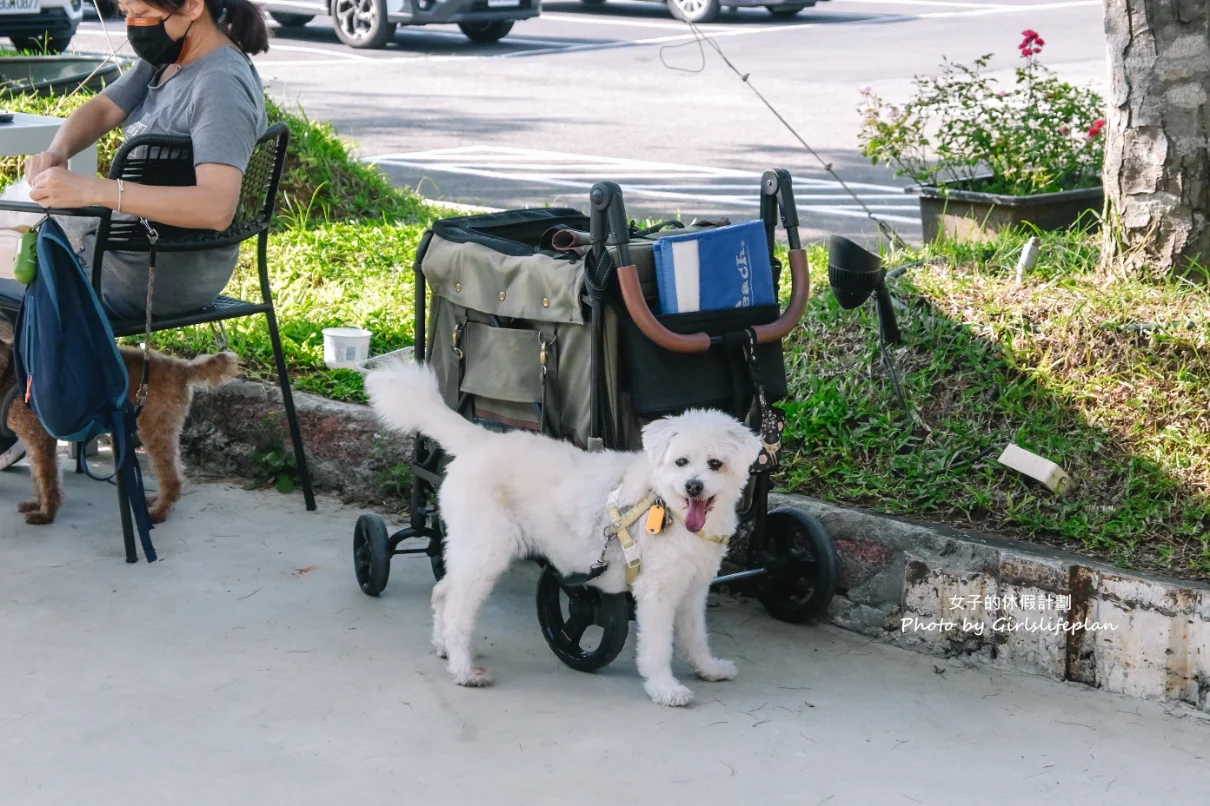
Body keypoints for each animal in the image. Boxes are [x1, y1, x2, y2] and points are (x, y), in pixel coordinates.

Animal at [1, 324, 239, 525]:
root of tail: (182, 367)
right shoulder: (32, 441)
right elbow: (37, 476)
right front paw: (37, 504)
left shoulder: (40, 439)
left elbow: (46, 477)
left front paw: (46, 514)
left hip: (155, 428)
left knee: (172, 478)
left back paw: (159, 513)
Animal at [370, 358, 764, 701]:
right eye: (681, 461)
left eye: (715, 463)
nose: (693, 486)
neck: (665, 506)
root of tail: (481, 440)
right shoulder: (656, 593)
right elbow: (656, 647)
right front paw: (665, 689)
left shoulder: (693, 590)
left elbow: (696, 637)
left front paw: (709, 668)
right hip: (486, 552)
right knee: (456, 606)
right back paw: (464, 669)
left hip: (469, 548)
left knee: (442, 592)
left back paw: (444, 648)